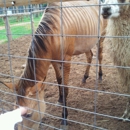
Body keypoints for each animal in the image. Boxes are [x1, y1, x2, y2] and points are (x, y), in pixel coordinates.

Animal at [1, 0, 106, 129]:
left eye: (29, 114)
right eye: (14, 108)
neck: (53, 32)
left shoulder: (66, 60)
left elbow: (65, 87)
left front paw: (64, 117)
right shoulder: (53, 61)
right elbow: (59, 80)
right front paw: (60, 98)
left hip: (101, 37)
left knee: (100, 56)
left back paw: (100, 75)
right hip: (87, 43)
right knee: (90, 56)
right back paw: (85, 77)